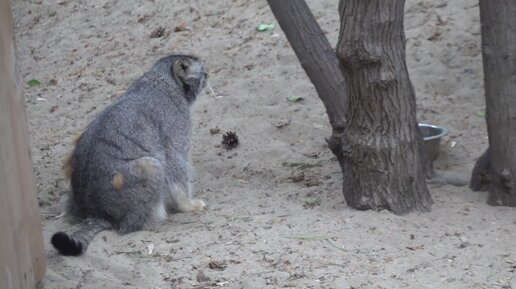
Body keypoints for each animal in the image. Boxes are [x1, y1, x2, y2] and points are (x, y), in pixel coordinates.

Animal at [51, 53, 207, 254]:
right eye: (202, 71)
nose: (208, 75)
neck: (161, 78)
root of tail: (96, 213)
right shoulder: (174, 142)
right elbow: (178, 177)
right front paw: (188, 205)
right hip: (151, 165)